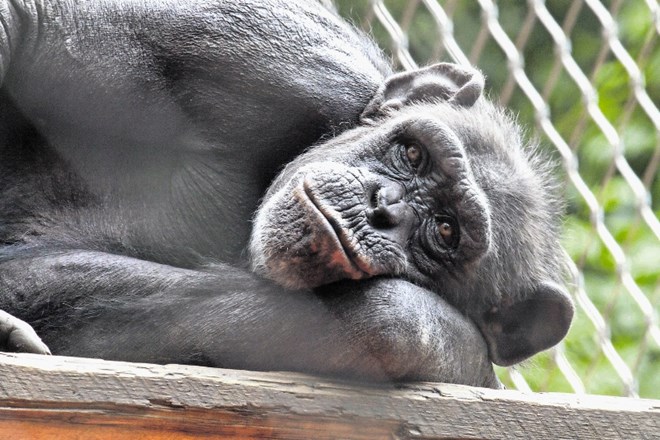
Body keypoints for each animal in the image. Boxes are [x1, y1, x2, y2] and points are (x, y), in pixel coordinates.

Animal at [0, 0, 572, 386]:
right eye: (412, 155)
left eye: (446, 230)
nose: (382, 206)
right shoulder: (286, 53)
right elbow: (46, 19)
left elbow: (398, 319)